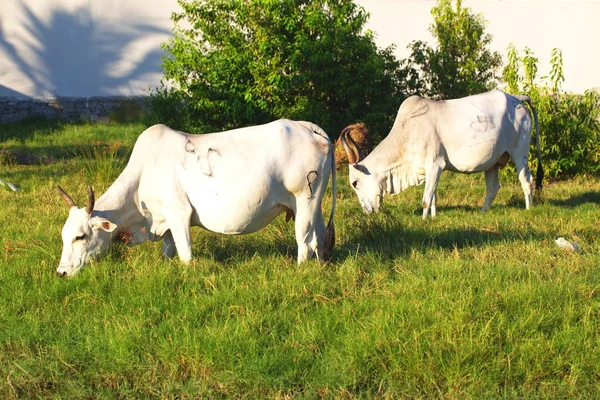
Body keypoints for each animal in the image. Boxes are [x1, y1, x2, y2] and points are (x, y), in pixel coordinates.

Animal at [56, 120, 338, 276]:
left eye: (80, 236)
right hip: (314, 205)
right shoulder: (164, 219)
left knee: (306, 242)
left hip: (305, 199)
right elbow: (168, 251)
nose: (61, 272)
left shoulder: (179, 213)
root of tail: (308, 127)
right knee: (320, 238)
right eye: (63, 236)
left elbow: (185, 254)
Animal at [342, 90, 544, 219]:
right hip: (493, 162)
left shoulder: (435, 165)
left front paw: (423, 220)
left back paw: (528, 210)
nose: (367, 212)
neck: (407, 133)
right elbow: (433, 197)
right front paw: (433, 217)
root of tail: (516, 98)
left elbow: (426, 199)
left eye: (355, 183)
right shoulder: (430, 170)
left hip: (519, 154)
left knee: (527, 182)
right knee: (493, 188)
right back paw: (481, 213)